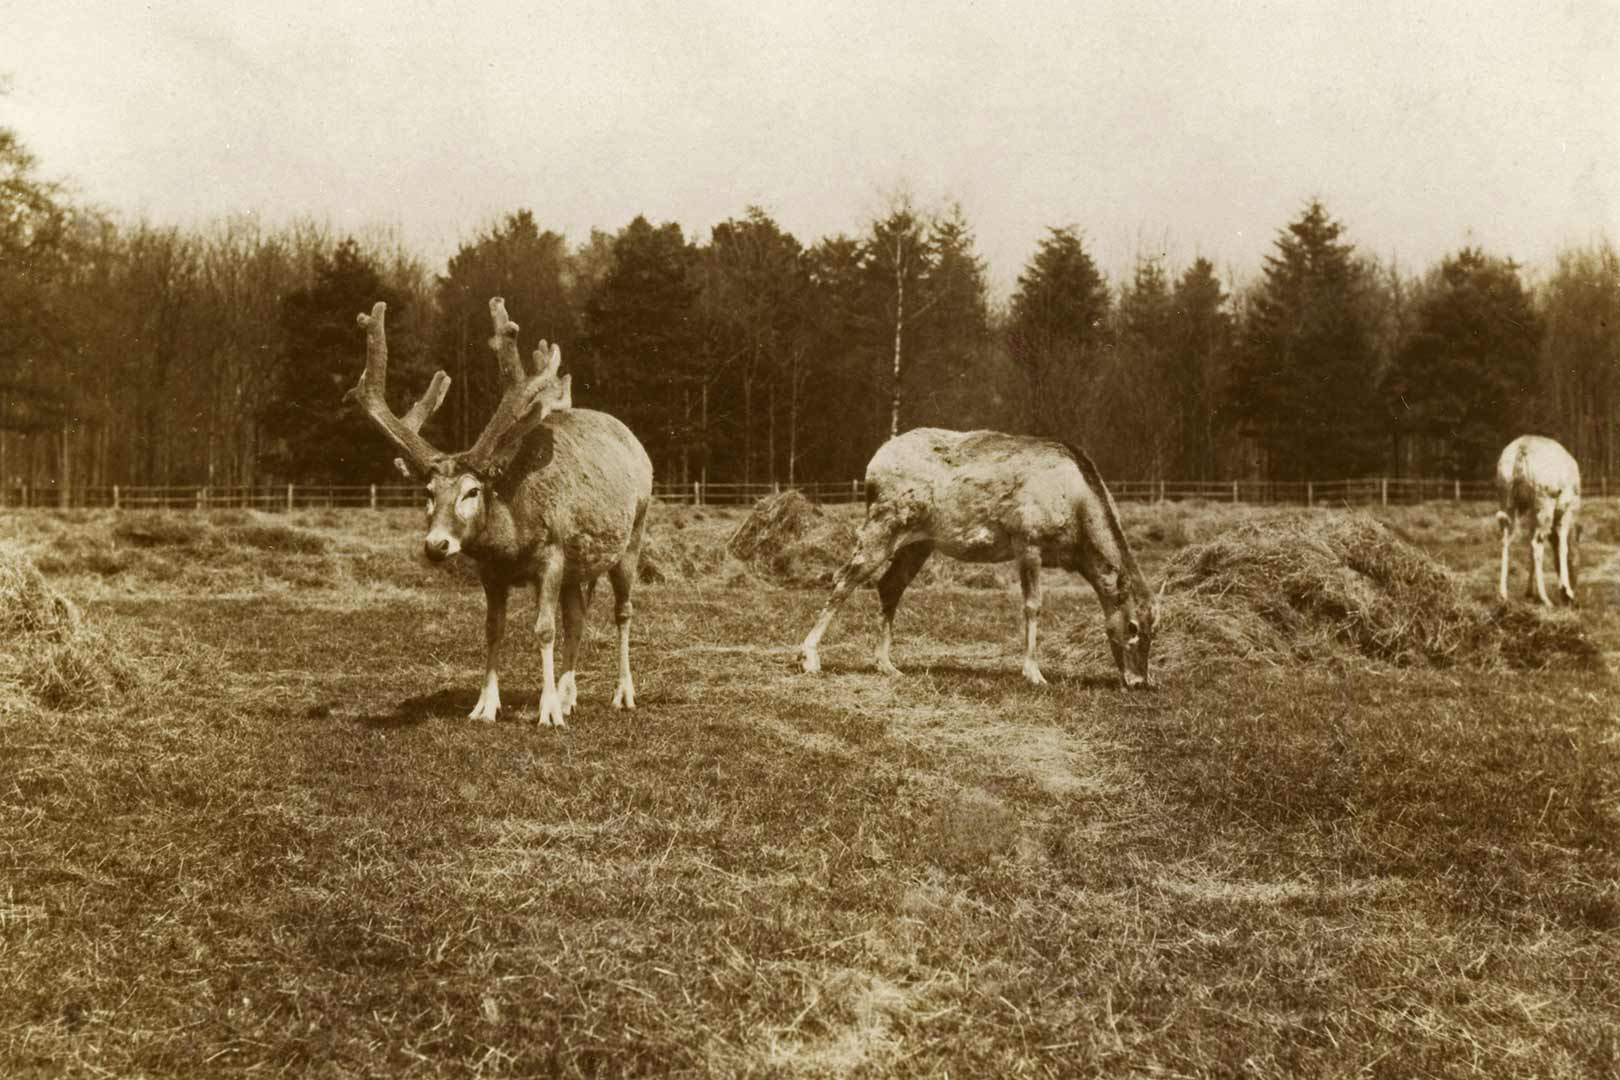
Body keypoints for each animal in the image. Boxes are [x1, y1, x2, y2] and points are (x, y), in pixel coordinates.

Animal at [351, 296, 654, 725]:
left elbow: (544, 629)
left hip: (633, 535)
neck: (511, 538)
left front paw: (547, 712)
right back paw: (569, 695)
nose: (436, 545)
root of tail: (635, 444)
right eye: (428, 492)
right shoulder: (490, 570)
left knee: (623, 611)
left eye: (472, 491)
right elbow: (493, 628)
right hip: (579, 565)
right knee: (577, 618)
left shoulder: (552, 552)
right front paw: (485, 706)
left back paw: (622, 693)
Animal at [793, 427, 1153, 689]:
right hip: (884, 522)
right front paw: (1034, 673)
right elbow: (1033, 606)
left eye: (1155, 629)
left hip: (918, 543)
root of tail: (872, 466)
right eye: (1133, 627)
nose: (1138, 681)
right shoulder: (1028, 540)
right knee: (843, 578)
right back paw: (809, 657)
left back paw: (886, 664)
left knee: (889, 585)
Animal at [1490, 437, 1581, 608]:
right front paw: (1566, 592)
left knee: (1506, 538)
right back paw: (1546, 599)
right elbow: (1563, 547)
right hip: (1544, 499)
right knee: (1536, 543)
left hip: (1506, 498)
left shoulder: (1533, 515)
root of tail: (1521, 450)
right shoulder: (1566, 508)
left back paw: (1503, 595)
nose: (1574, 584)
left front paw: (1529, 592)